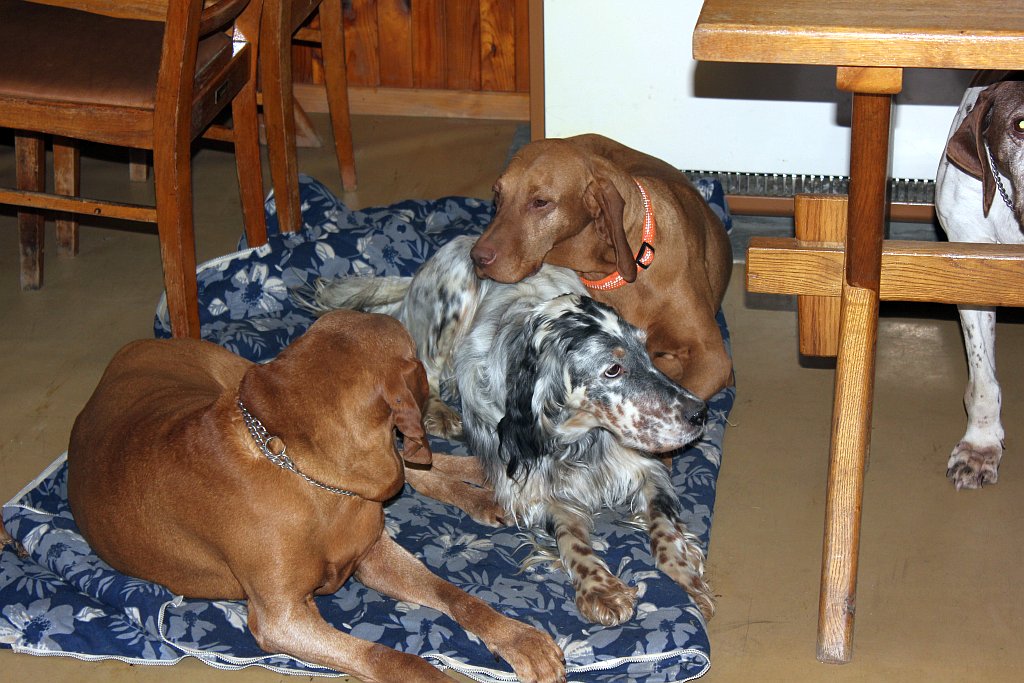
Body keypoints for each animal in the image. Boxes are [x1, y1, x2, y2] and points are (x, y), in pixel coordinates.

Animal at [64, 310, 565, 683]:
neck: (301, 472)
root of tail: (139, 345)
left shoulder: (372, 551)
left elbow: (457, 595)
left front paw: (520, 638)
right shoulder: (282, 618)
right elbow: (390, 657)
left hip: (235, 375)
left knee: (416, 469)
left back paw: (488, 484)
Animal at [304, 236, 715, 626]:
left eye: (644, 350)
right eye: (612, 370)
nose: (699, 413)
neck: (573, 442)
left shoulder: (646, 469)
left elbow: (664, 529)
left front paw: (686, 573)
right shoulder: (534, 494)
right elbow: (570, 541)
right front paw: (599, 588)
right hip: (452, 299)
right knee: (426, 368)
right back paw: (439, 414)